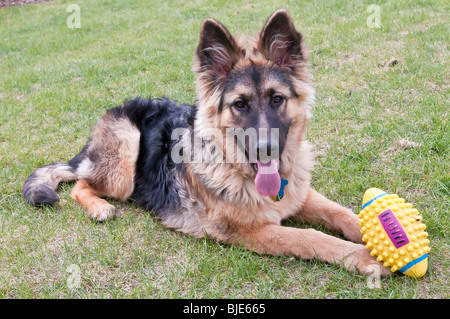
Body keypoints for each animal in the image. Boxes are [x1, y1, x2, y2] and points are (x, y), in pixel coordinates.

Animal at [22, 8, 390, 276]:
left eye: (277, 99)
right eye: (240, 104)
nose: (266, 148)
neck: (238, 170)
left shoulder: (298, 194)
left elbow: (341, 213)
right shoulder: (253, 231)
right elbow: (309, 237)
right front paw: (364, 257)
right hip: (126, 151)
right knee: (81, 183)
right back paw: (99, 207)